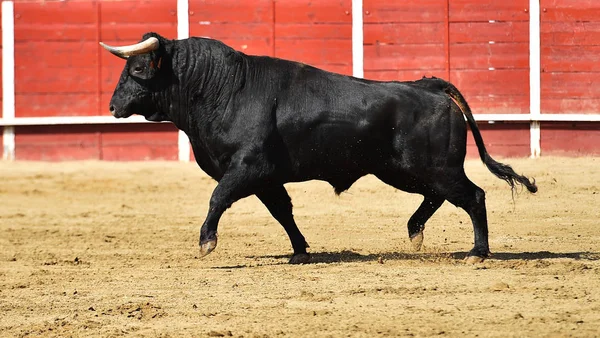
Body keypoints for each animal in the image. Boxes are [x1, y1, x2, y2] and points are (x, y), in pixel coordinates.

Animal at [101, 31, 536, 264]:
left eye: (137, 69)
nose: (113, 107)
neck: (222, 89)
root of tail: (428, 85)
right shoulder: (266, 178)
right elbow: (282, 212)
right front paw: (300, 251)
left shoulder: (247, 168)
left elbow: (218, 197)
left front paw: (207, 242)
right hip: (403, 170)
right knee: (440, 196)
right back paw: (415, 233)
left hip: (432, 167)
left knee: (473, 196)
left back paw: (478, 252)